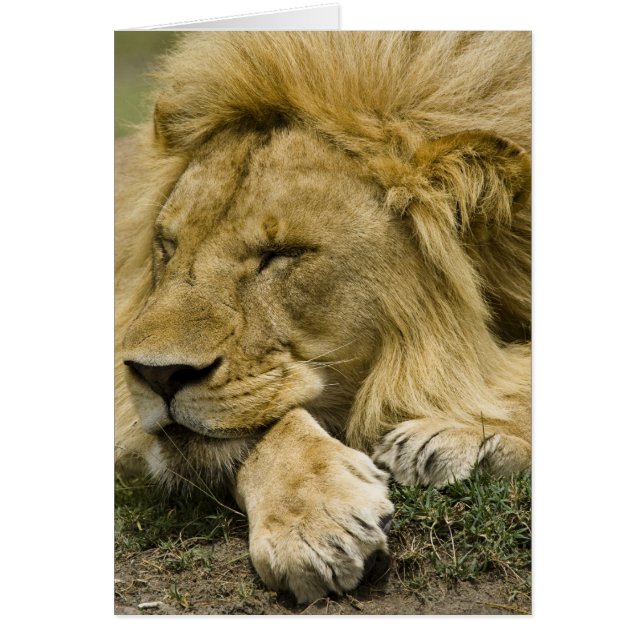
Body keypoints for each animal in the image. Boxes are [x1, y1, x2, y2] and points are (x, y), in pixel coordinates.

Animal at [115, 31, 531, 603]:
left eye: (282, 253)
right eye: (168, 246)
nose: (156, 376)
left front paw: (459, 436)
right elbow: (269, 423)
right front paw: (313, 523)